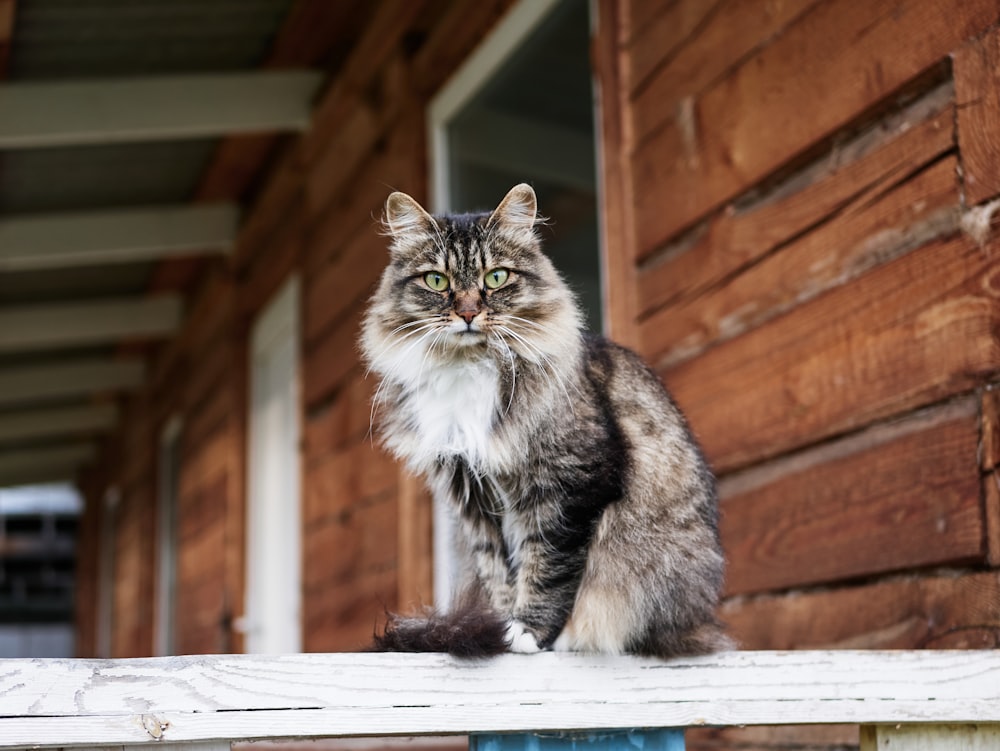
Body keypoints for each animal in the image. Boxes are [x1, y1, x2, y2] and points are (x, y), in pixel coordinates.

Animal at [360, 184, 728, 656]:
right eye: (437, 281)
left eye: (496, 277)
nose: (467, 313)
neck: (469, 368)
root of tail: (703, 617)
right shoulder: (473, 498)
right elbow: (498, 571)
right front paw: (497, 627)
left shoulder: (571, 483)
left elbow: (548, 567)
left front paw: (527, 633)